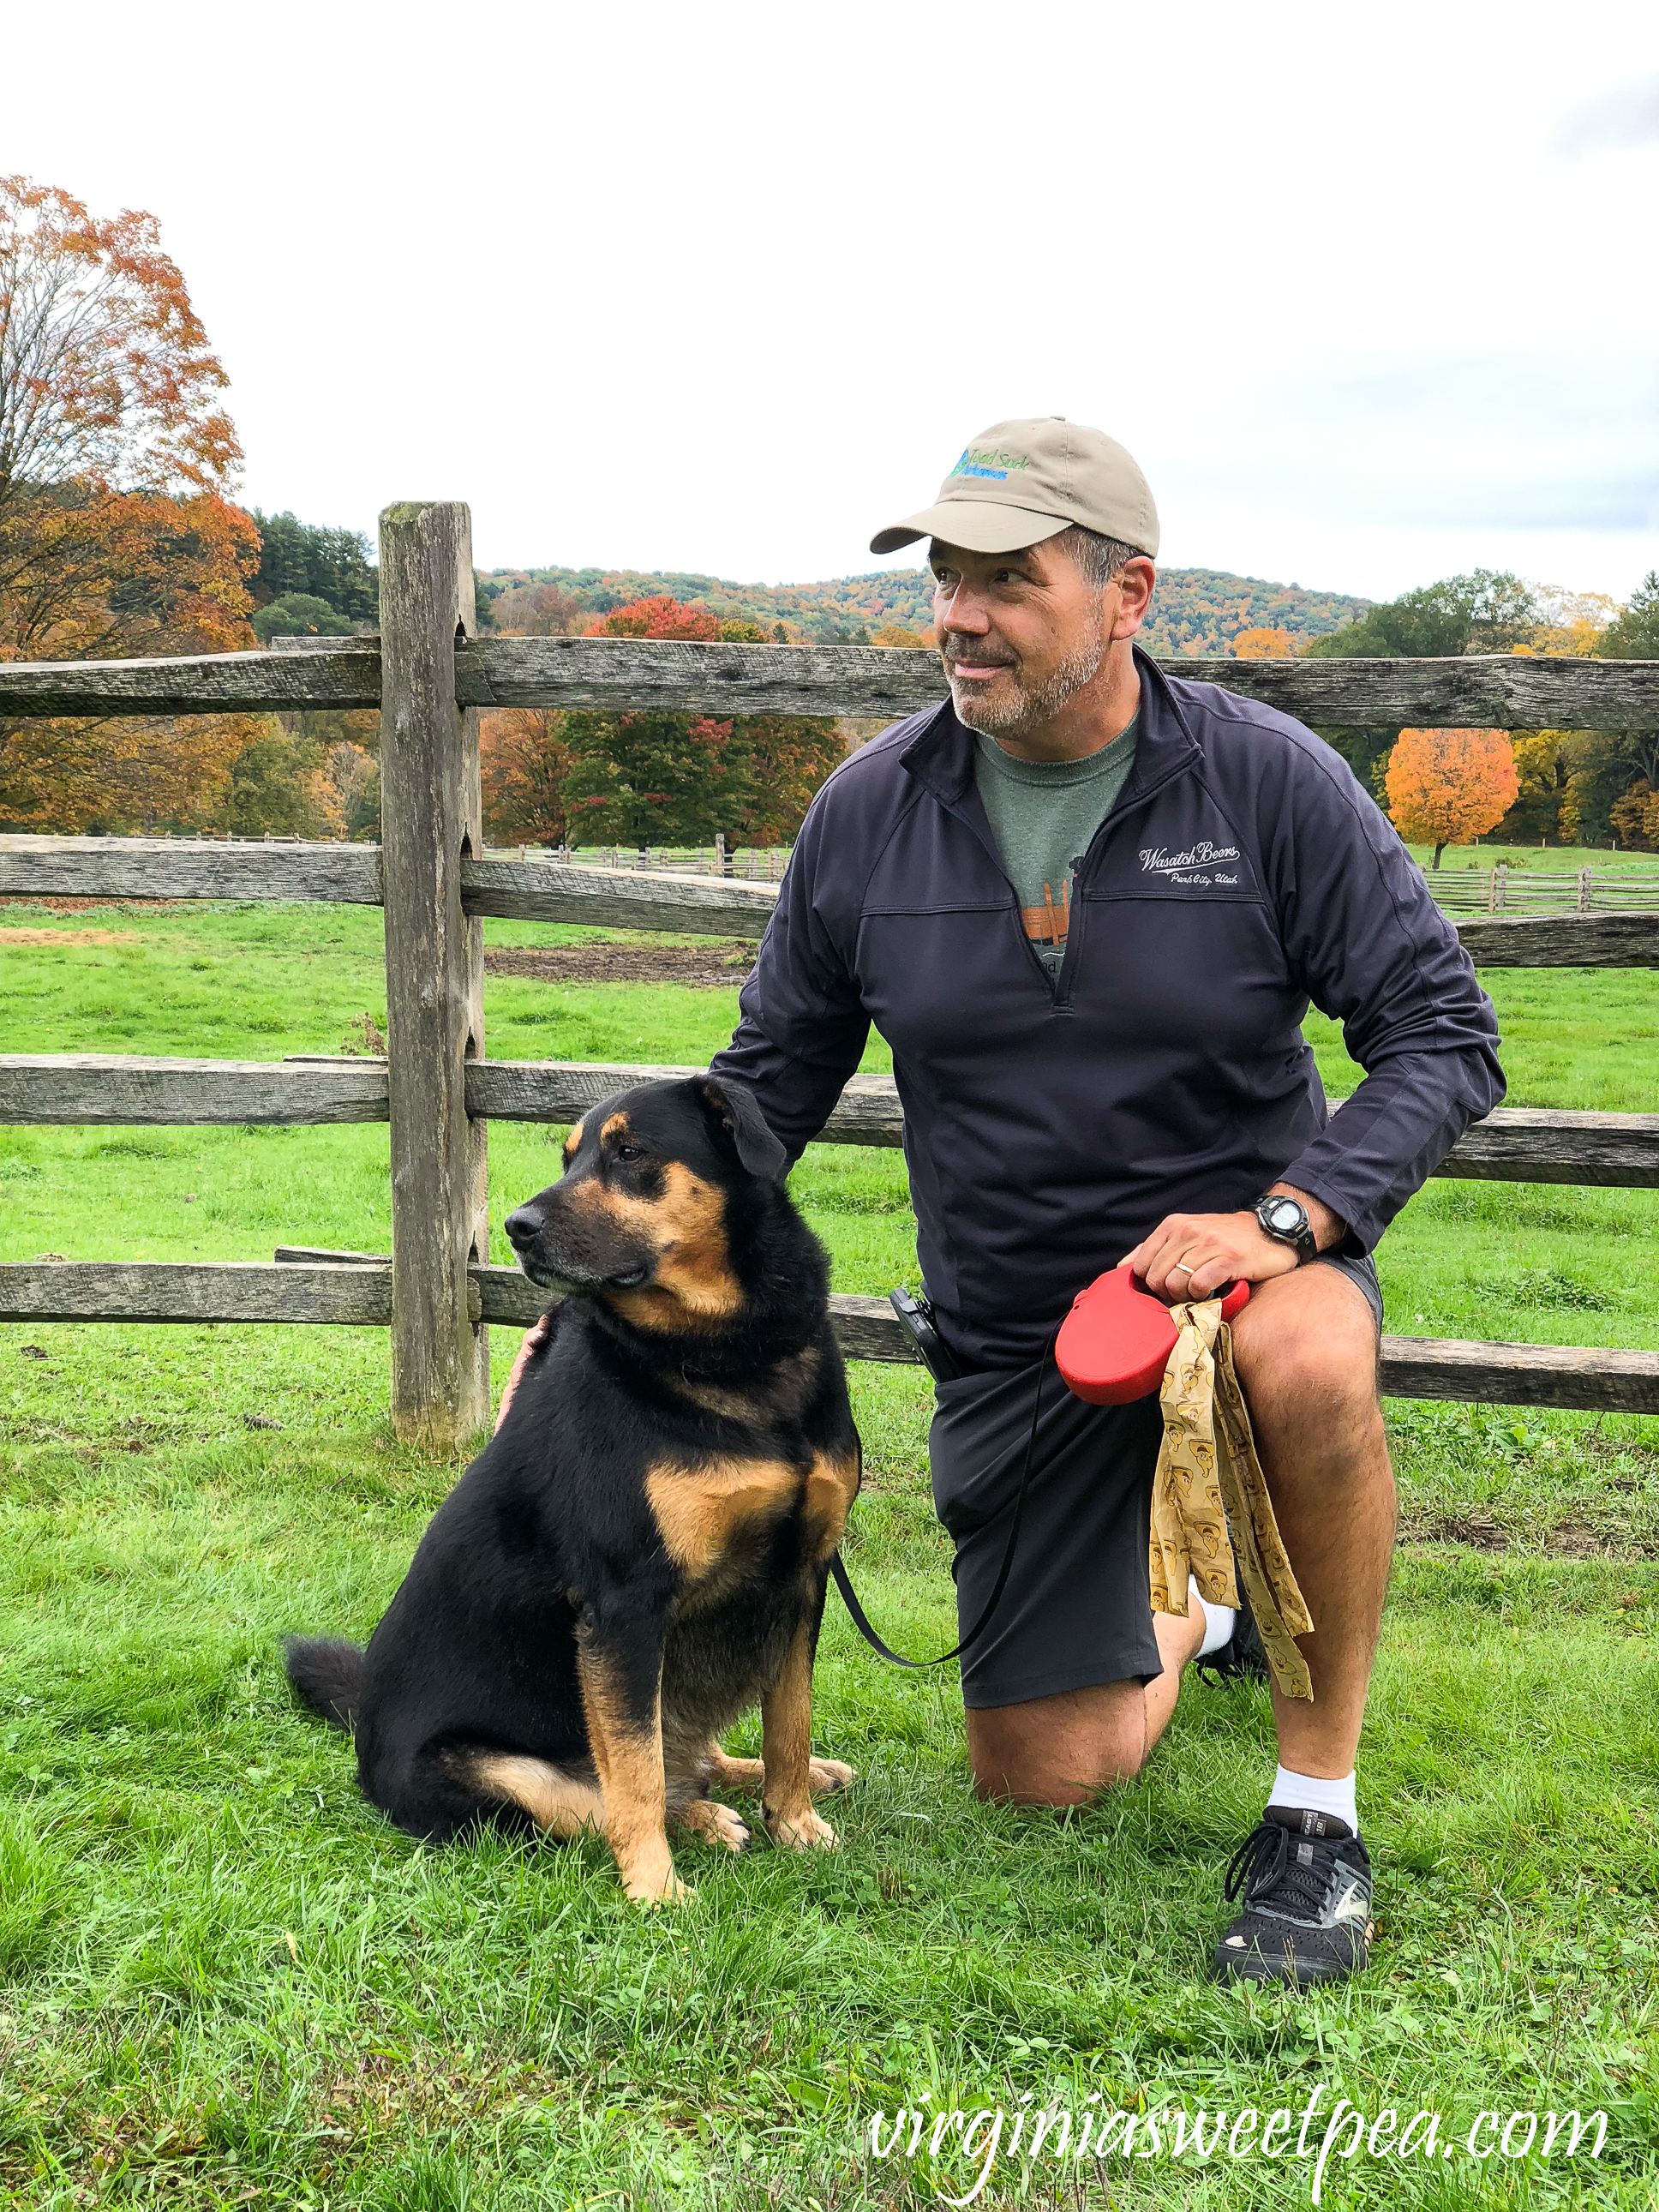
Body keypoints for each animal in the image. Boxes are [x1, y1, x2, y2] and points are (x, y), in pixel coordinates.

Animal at [283, 1075, 858, 1902]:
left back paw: (776, 1782)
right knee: (617, 1793)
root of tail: (363, 1724)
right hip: (512, 1774)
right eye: (568, 1157)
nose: (517, 1228)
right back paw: (701, 1822)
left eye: (630, 1152)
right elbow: (636, 1777)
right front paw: (656, 1889)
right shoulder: (624, 1605)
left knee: (692, 1757)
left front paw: (796, 1818)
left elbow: (790, 1721)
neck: (726, 1350)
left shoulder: (802, 1579)